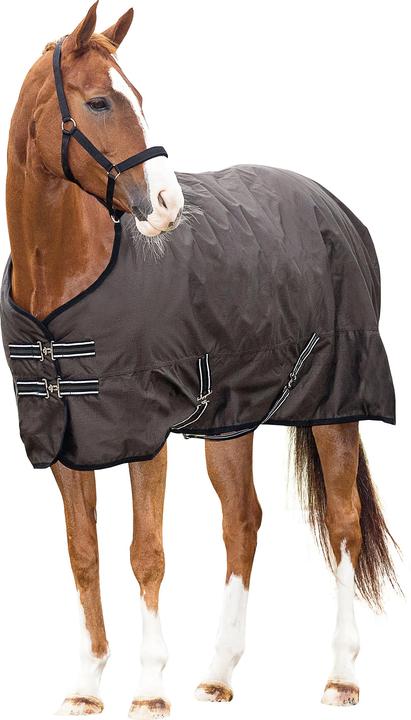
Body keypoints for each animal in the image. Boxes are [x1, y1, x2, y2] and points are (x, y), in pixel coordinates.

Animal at [3, 3, 399, 717]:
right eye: (99, 101)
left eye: (139, 97)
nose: (167, 207)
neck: (64, 289)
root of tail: (332, 204)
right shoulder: (65, 439)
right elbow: (84, 554)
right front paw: (86, 685)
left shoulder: (144, 435)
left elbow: (147, 553)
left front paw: (149, 687)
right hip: (231, 419)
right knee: (243, 521)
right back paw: (218, 673)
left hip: (337, 407)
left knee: (344, 526)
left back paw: (341, 676)